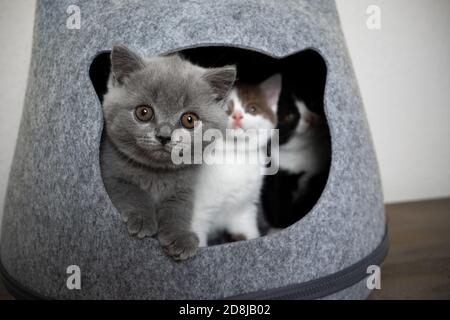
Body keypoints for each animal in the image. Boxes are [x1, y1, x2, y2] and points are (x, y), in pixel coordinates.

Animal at [100, 45, 237, 260]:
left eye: (189, 119)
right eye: (143, 112)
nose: (164, 135)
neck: (157, 174)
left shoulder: (185, 188)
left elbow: (178, 210)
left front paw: (180, 236)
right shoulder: (109, 171)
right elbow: (129, 190)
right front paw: (142, 218)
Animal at [191, 74, 282, 246]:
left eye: (252, 109)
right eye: (224, 108)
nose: (237, 116)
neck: (234, 154)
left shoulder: (244, 211)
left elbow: (247, 233)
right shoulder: (196, 215)